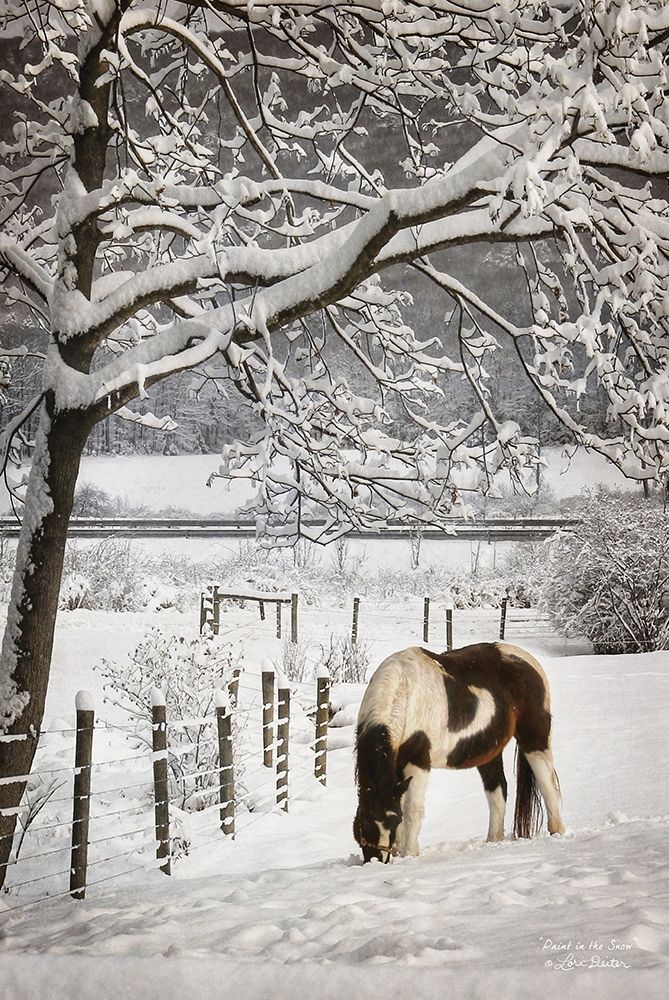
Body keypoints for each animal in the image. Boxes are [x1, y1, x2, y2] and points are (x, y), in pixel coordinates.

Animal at [354, 644, 564, 864]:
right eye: (364, 821)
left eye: (393, 822)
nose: (376, 860)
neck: (403, 692)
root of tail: (529, 661)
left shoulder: (418, 760)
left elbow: (412, 809)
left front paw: (409, 854)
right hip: (490, 753)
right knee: (498, 791)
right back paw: (493, 841)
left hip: (534, 738)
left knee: (547, 784)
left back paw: (557, 832)